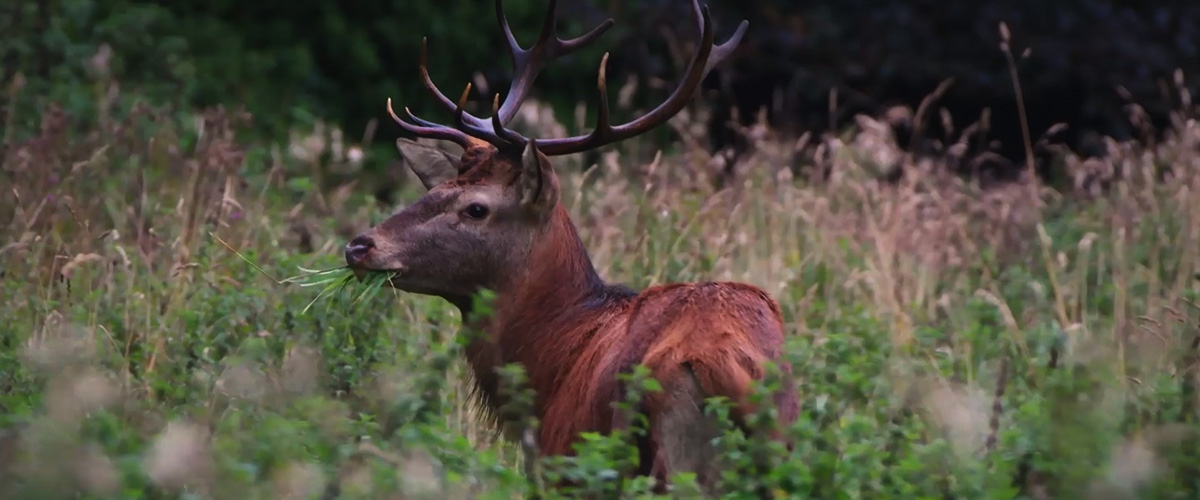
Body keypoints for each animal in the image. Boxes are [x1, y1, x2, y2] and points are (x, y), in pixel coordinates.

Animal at [343, 0, 799, 494]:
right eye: (438, 188)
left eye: (477, 208)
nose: (359, 247)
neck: (551, 360)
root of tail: (717, 367)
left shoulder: (563, 464)